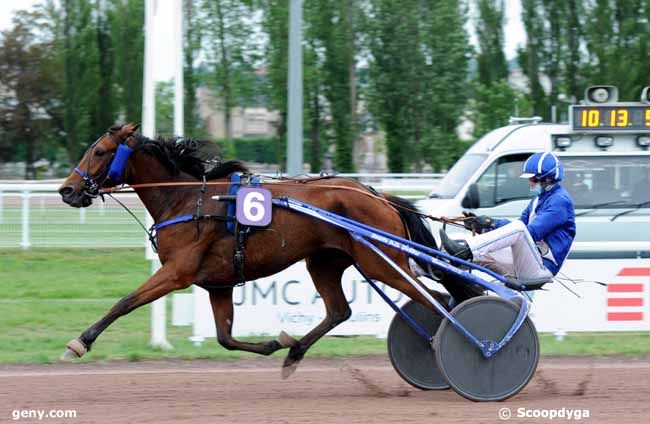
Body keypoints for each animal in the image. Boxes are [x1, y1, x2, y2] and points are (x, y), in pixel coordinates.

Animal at [59, 122, 476, 374]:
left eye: (99, 152)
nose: (66, 190)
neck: (188, 198)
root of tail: (378, 195)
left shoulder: (177, 272)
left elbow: (124, 302)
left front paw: (79, 342)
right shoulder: (218, 283)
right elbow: (225, 338)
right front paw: (278, 342)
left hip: (381, 263)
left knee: (438, 299)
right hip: (324, 261)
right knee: (340, 311)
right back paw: (295, 352)